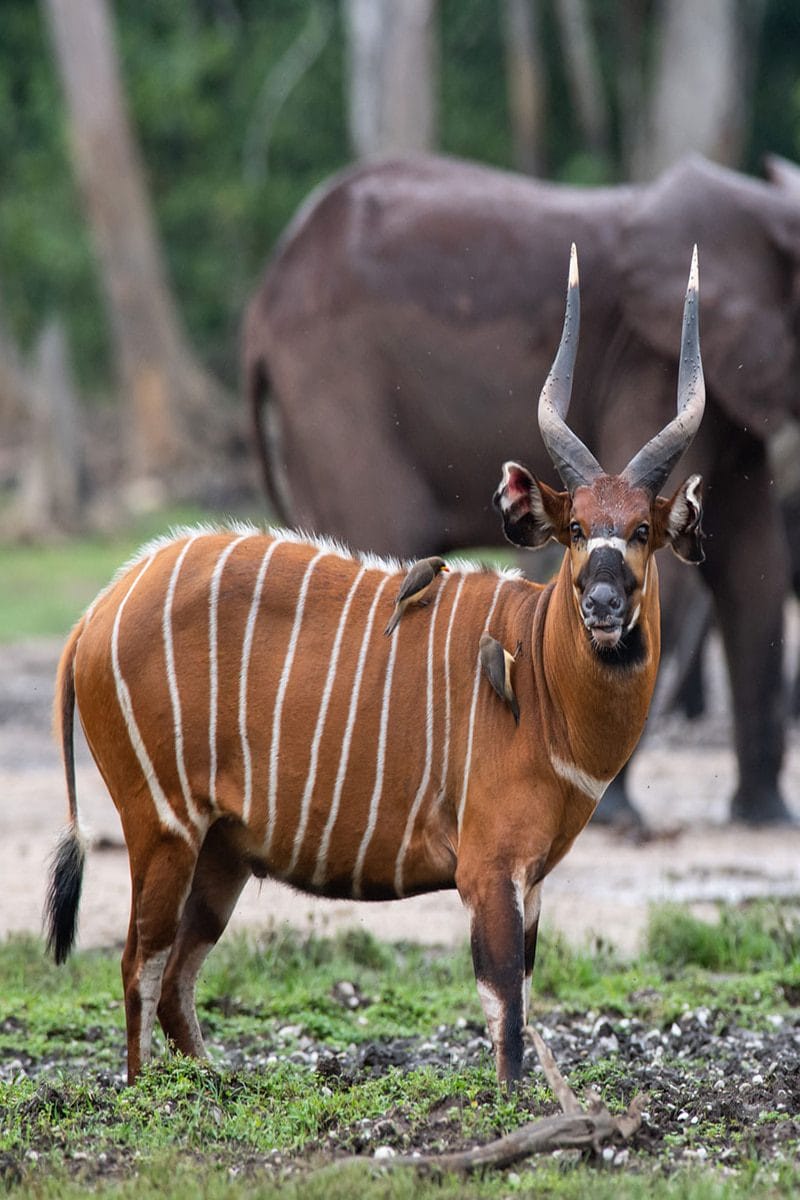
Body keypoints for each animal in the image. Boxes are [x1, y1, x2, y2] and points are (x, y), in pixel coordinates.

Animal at [47, 243, 705, 1089]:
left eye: (642, 533)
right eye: (577, 530)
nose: (601, 602)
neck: (540, 680)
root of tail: (94, 614)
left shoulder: (531, 877)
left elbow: (523, 996)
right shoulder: (489, 867)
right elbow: (506, 1008)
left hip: (220, 852)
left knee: (175, 979)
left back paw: (219, 1086)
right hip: (162, 827)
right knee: (139, 965)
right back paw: (148, 1098)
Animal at [245, 152, 800, 825]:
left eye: (644, 530)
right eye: (576, 529)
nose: (602, 607)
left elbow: (757, 574)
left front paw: (767, 811)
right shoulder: (647, 366)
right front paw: (617, 811)